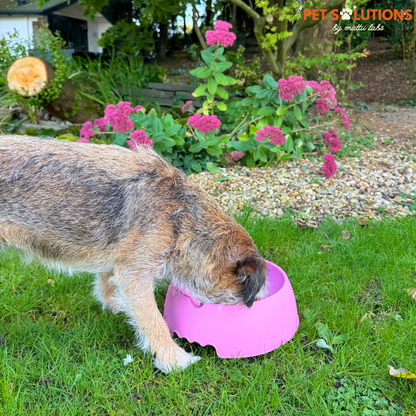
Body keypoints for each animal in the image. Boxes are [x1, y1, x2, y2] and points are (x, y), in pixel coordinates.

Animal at [0, 135, 266, 372]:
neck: (181, 216)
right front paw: (174, 359)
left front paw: (113, 303)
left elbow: (107, 279)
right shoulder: (136, 275)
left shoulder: (121, 259)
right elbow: (154, 321)